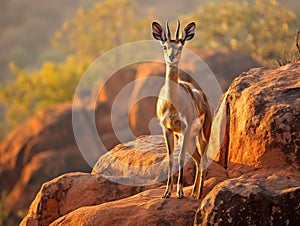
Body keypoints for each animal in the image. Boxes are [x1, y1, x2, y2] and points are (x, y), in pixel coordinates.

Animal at [152, 20, 211, 199]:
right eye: (165, 46)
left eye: (180, 46)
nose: (172, 57)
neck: (172, 103)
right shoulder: (167, 129)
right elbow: (171, 159)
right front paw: (166, 193)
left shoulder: (185, 128)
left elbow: (180, 160)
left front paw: (179, 192)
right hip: (189, 139)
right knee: (198, 160)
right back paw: (193, 193)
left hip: (203, 134)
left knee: (203, 160)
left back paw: (199, 195)